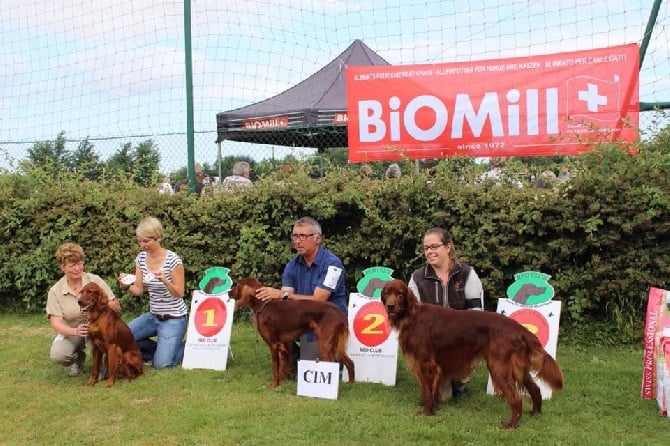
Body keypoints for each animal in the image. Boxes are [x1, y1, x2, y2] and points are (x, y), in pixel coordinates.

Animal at [380, 278, 564, 428]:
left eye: (400, 294)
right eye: (387, 293)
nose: (390, 306)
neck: (411, 317)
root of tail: (518, 328)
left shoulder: (427, 365)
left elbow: (427, 391)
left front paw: (426, 412)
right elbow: (428, 390)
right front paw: (430, 406)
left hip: (499, 367)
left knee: (516, 397)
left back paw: (511, 425)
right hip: (519, 368)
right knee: (535, 389)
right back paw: (535, 413)